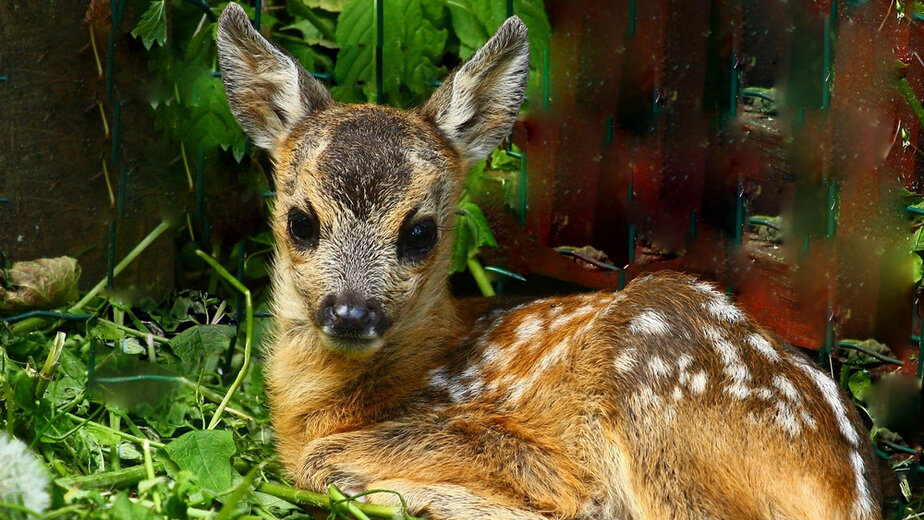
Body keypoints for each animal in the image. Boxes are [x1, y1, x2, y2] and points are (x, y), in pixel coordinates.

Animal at [215, 5, 880, 520]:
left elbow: (321, 461)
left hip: (653, 384)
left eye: (420, 232)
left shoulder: (491, 430)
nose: (351, 313)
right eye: (301, 222)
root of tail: (852, 491)